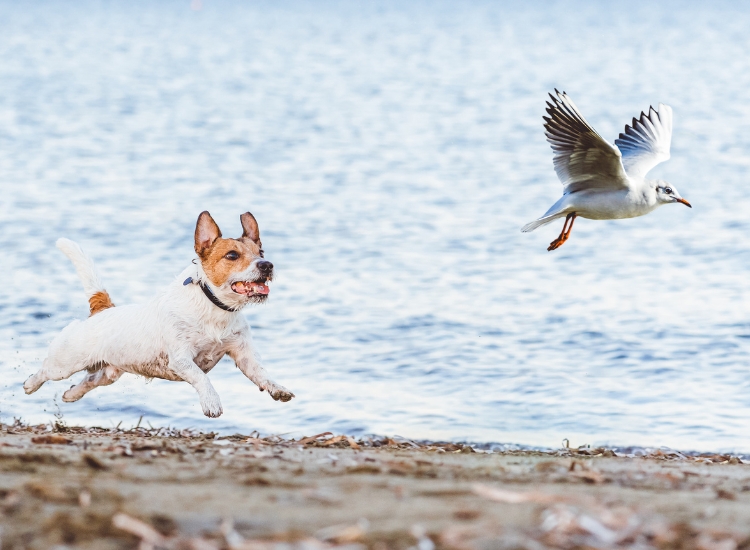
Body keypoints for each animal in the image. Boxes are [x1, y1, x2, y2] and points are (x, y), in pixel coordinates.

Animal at [24, 211, 294, 418]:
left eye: (261, 253)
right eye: (232, 255)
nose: (267, 265)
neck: (215, 307)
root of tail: (102, 309)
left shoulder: (244, 355)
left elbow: (261, 373)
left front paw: (276, 388)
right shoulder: (182, 359)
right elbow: (201, 378)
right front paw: (212, 402)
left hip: (109, 373)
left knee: (89, 381)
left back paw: (71, 394)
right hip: (64, 363)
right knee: (45, 371)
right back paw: (29, 384)